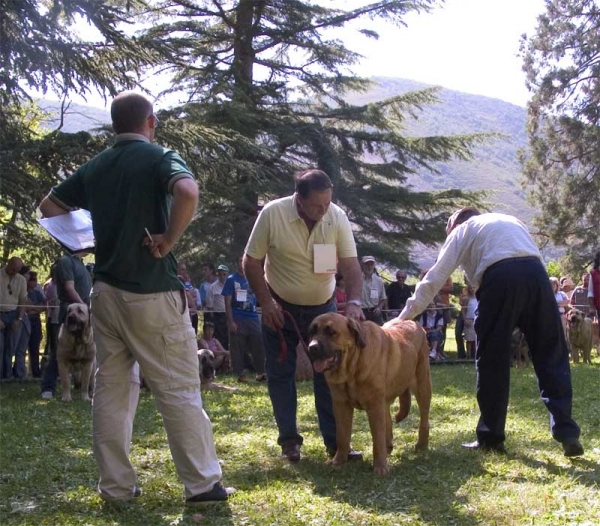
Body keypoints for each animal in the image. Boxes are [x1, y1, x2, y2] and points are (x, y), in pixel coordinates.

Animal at [310, 316, 432, 476]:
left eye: (331, 332)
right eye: (311, 331)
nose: (312, 347)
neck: (353, 367)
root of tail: (414, 323)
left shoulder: (375, 406)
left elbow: (377, 438)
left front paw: (380, 467)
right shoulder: (340, 405)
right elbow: (342, 435)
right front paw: (338, 461)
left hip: (422, 385)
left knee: (424, 418)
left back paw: (421, 445)